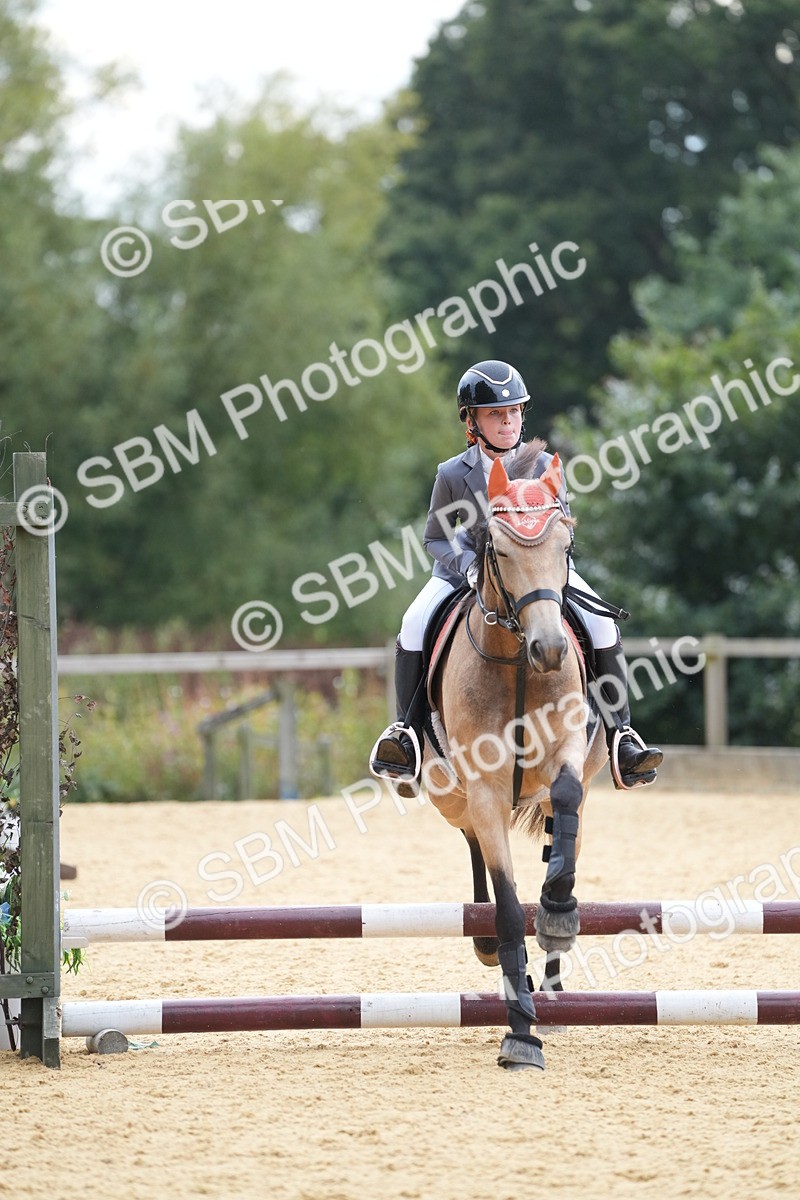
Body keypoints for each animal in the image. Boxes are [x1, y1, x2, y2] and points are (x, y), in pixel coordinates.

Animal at [423, 441, 607, 1070]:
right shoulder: (482, 787)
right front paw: (520, 1033)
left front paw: (558, 913)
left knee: (560, 832)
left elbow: (568, 798)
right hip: (451, 796)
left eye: (565, 547)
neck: (518, 665)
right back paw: (498, 960)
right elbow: (505, 905)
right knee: (474, 842)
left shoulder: (569, 749)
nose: (550, 650)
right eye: (499, 551)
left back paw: (551, 976)